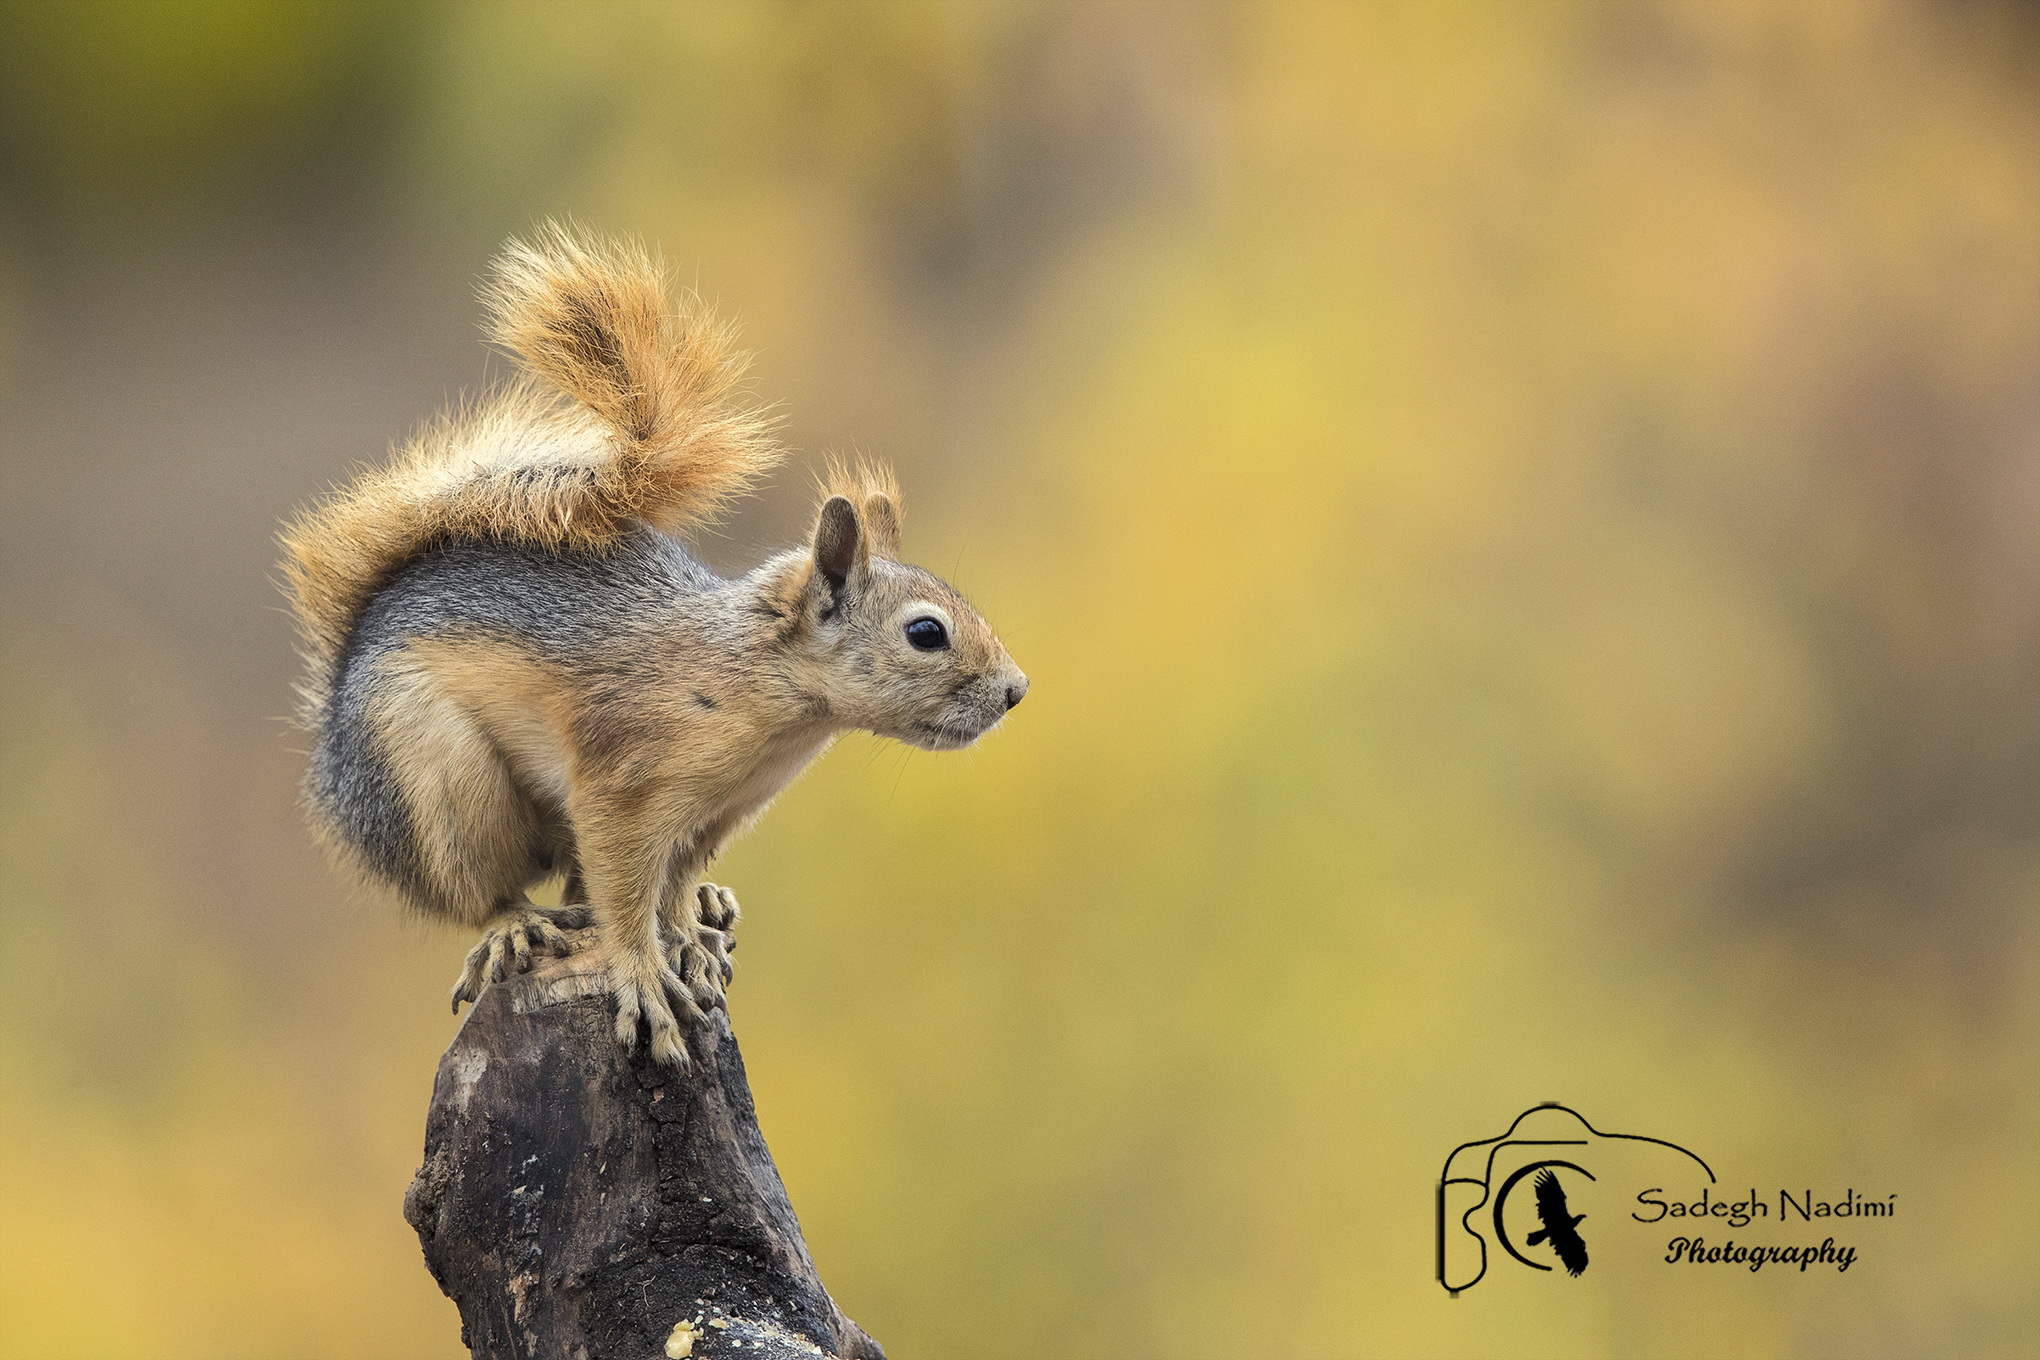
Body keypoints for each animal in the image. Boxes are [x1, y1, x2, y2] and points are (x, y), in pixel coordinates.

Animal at [281, 225, 1028, 1067]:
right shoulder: (622, 785)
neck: (757, 689)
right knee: (480, 891)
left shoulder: (710, 818)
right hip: (435, 782)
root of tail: (331, 755)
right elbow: (626, 896)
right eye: (925, 632)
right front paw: (643, 971)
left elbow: (666, 889)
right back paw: (514, 924)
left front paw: (686, 939)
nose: (1016, 690)